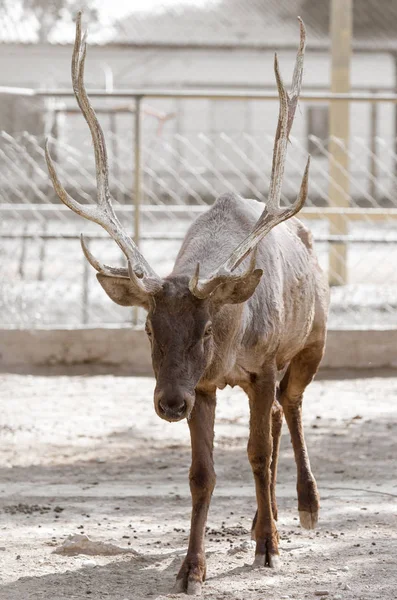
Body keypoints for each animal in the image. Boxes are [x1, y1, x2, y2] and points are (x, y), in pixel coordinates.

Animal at [44, 11, 328, 592]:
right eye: (149, 329)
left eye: (206, 330)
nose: (169, 404)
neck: (233, 339)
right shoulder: (204, 385)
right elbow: (202, 474)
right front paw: (191, 568)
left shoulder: (262, 364)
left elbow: (258, 455)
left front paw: (270, 549)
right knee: (273, 420)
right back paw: (261, 519)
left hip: (315, 340)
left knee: (289, 407)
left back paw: (304, 510)